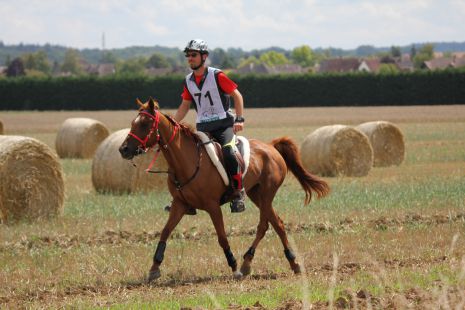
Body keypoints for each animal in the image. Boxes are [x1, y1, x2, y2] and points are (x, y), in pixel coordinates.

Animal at [119, 98, 330, 282]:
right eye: (132, 123)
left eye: (145, 124)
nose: (123, 149)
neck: (186, 162)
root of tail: (271, 146)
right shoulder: (180, 204)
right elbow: (164, 232)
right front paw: (154, 268)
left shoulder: (213, 206)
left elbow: (221, 237)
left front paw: (234, 267)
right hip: (255, 194)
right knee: (274, 224)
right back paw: (270, 262)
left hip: (266, 194)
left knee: (269, 224)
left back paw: (263, 263)